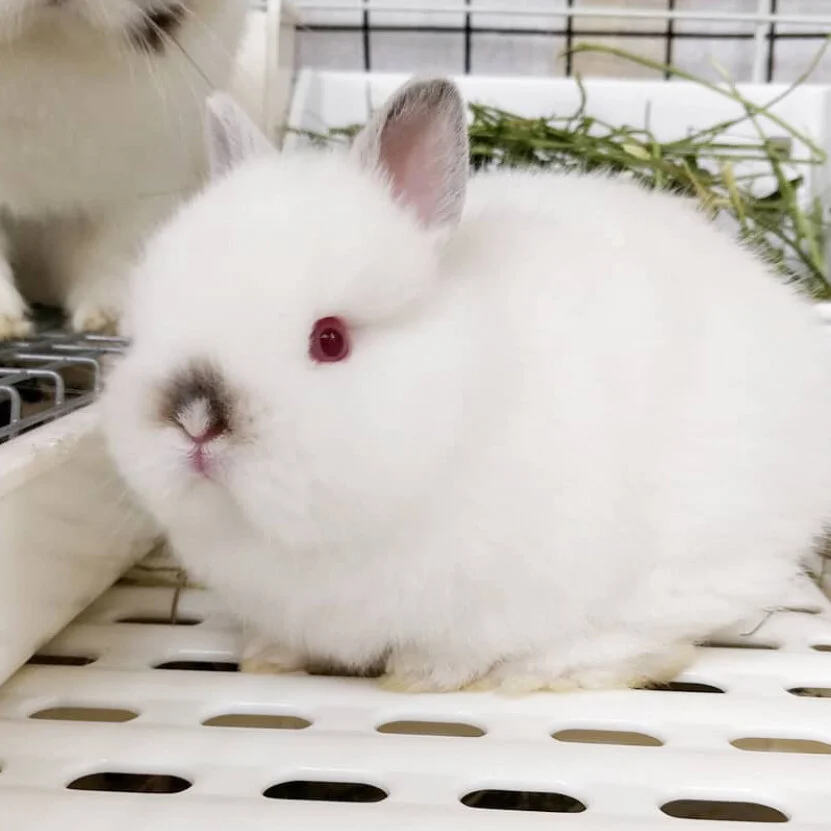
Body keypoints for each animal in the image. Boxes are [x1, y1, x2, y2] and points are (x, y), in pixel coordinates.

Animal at [102, 78, 831, 693]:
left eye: (330, 339)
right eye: (148, 324)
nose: (195, 417)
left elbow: (453, 652)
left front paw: (419, 679)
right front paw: (269, 658)